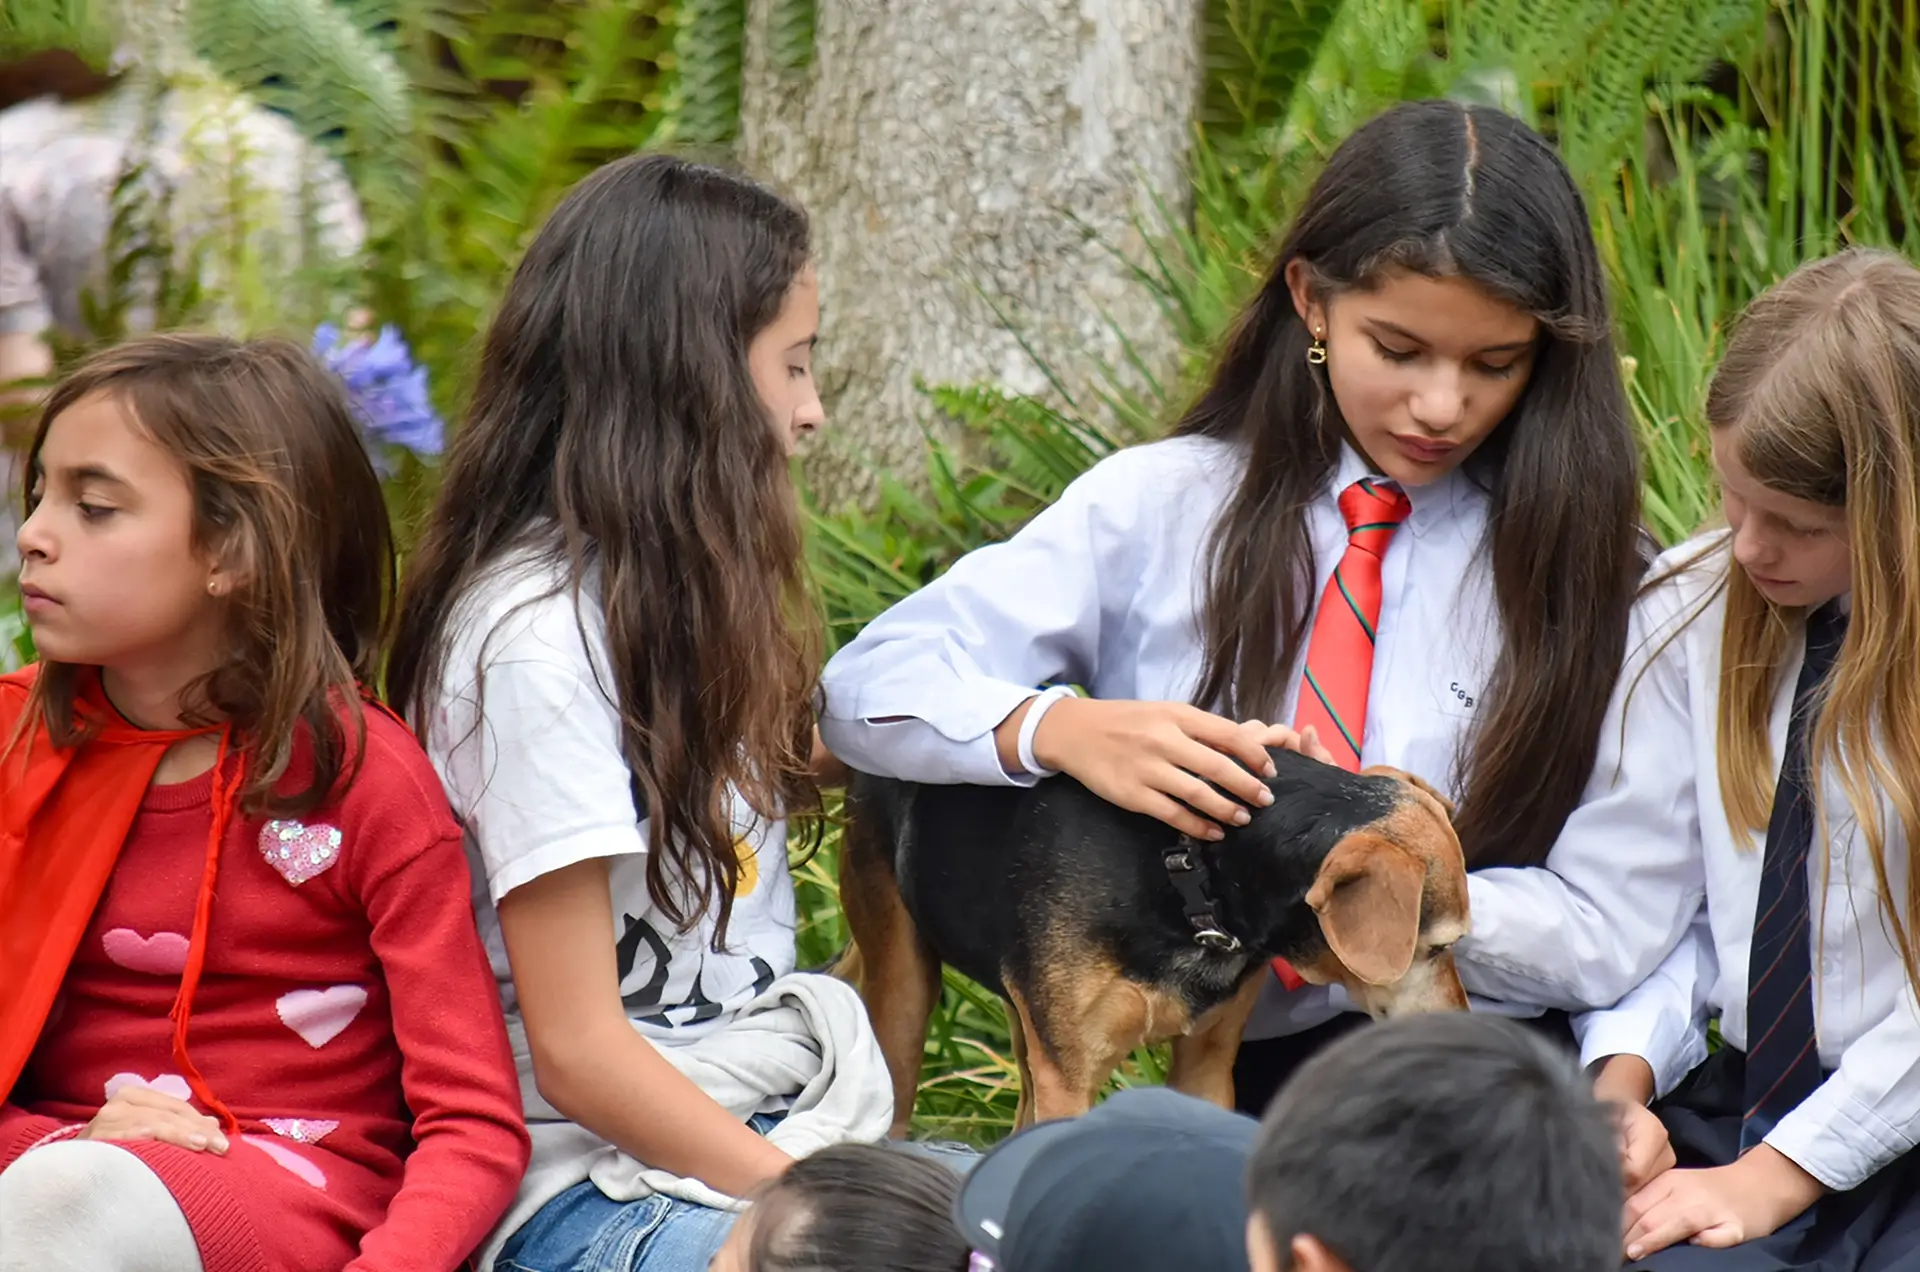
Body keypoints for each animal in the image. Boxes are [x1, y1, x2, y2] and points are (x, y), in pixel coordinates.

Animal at [837, 749, 1466, 1137]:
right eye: (1437, 948)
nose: (1465, 1027)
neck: (1192, 869)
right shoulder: (1070, 1080)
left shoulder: (1207, 1066)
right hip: (904, 995)